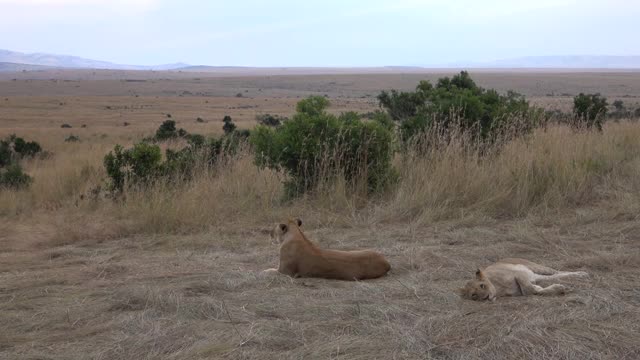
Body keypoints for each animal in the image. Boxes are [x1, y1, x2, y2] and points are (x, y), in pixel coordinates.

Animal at [458, 258, 588, 300]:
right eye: (474, 295)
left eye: (482, 285)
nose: (485, 297)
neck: (498, 289)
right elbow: (534, 290)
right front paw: (555, 288)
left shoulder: (518, 274)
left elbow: (529, 289)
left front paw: (560, 288)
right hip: (537, 275)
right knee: (555, 276)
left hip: (536, 267)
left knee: (558, 272)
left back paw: (582, 274)